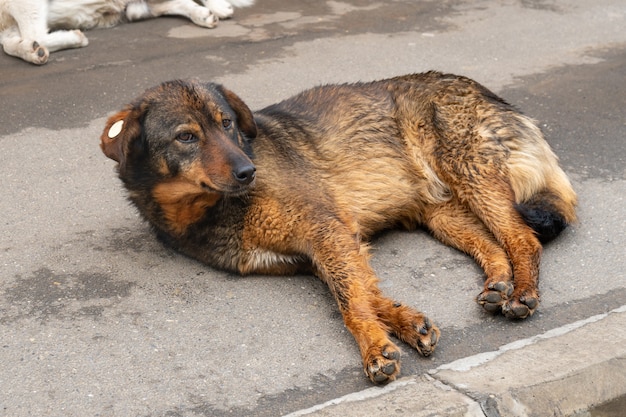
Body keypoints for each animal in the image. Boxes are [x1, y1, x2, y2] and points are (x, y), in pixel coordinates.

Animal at [1, 0, 254, 64]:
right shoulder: (7, 29)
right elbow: (9, 45)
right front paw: (31, 51)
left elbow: (35, 35)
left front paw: (73, 37)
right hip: (137, 10)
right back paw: (202, 15)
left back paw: (218, 7)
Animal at [101, 71, 576, 384]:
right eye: (186, 136)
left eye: (227, 124)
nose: (248, 171)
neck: (210, 211)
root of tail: (489, 93)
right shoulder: (315, 253)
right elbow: (368, 293)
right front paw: (406, 324)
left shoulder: (325, 232)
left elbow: (351, 301)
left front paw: (375, 349)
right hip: (441, 211)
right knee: (493, 244)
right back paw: (498, 283)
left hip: (470, 172)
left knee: (522, 238)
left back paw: (523, 293)